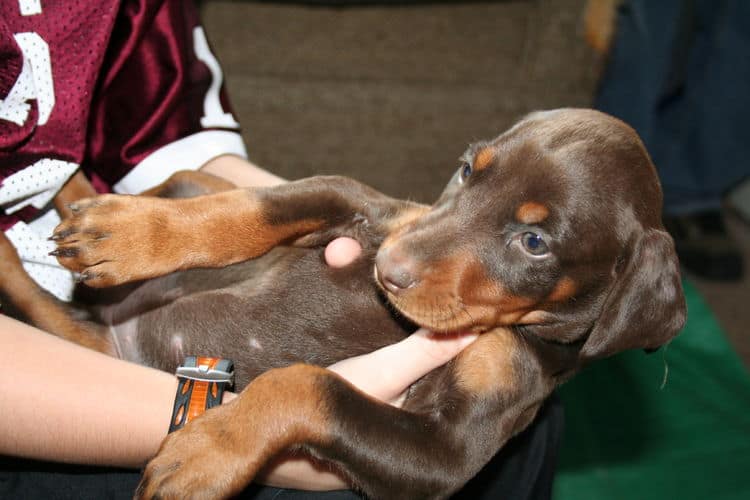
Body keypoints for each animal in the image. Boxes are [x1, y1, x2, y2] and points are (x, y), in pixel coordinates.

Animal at [0, 109, 688, 500]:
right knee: (173, 185)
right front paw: (132, 235)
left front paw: (205, 451)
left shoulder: (443, 455)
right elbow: (249, 210)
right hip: (193, 183)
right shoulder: (360, 203)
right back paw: (81, 197)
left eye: (535, 242)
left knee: (49, 309)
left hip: (88, 336)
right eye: (468, 170)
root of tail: (116, 329)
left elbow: (308, 387)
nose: (390, 270)